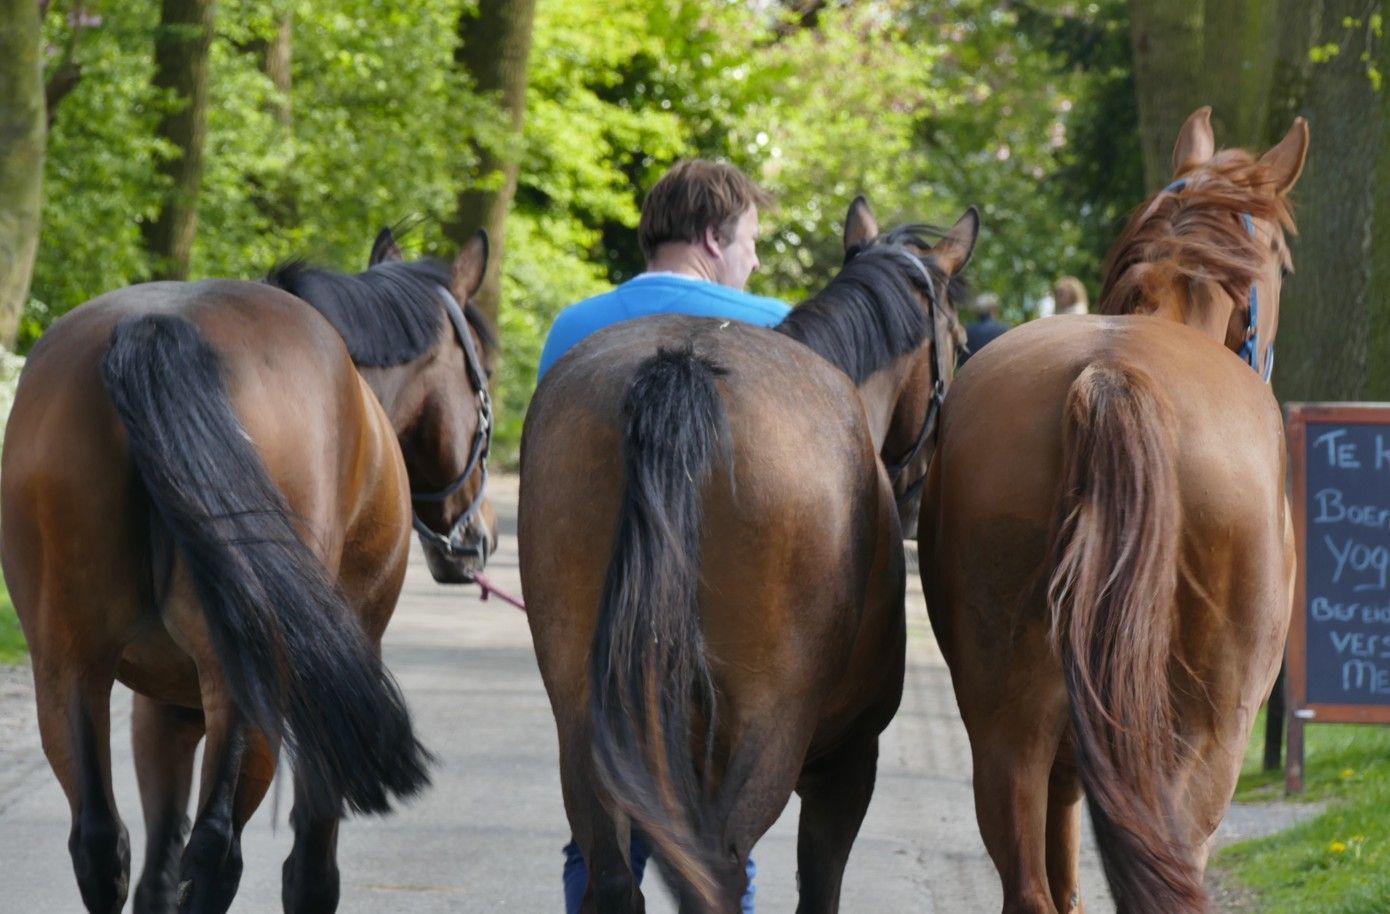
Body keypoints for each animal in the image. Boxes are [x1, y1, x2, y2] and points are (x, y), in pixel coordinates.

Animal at [0, 228, 496, 914]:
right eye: (485, 375)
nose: (477, 538)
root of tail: (156, 330)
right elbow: (310, 867)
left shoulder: (164, 704)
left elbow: (157, 870)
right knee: (216, 853)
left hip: (68, 667)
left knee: (103, 845)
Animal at [519, 197, 976, 913]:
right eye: (959, 345)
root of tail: (682, 367)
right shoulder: (847, 763)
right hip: (768, 729)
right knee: (719, 875)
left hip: (589, 723)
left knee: (614, 879)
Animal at [918, 107, 1307, 914]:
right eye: (1281, 265)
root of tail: (1111, 369)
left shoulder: (1067, 755)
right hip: (1209, 734)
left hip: (1006, 722)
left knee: (1029, 884)